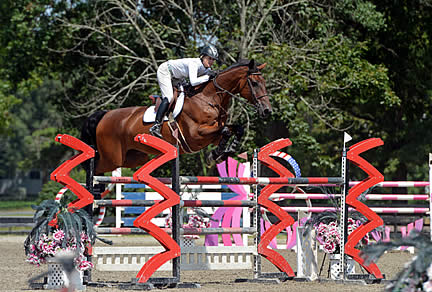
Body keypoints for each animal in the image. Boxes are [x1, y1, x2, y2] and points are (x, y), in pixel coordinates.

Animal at [79, 58, 272, 175]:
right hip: (112, 158)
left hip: (133, 158)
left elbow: (235, 129)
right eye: (254, 83)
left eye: (264, 82)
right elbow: (225, 130)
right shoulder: (196, 135)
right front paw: (215, 155)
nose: (267, 111)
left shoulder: (213, 134)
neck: (209, 98)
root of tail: (105, 115)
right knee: (93, 168)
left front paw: (222, 153)